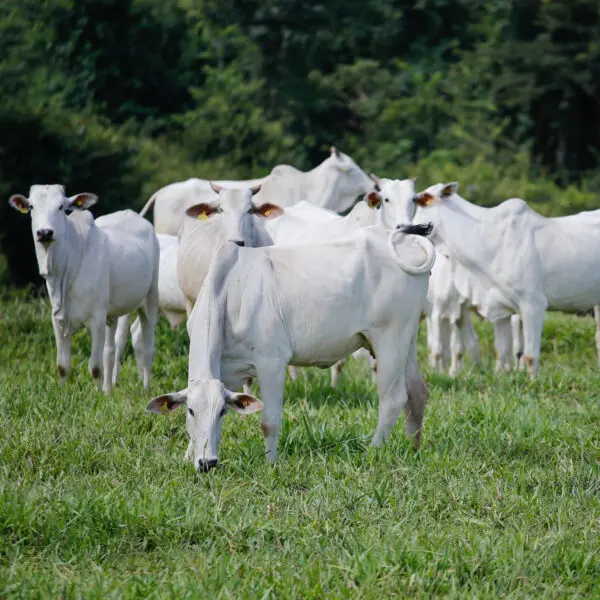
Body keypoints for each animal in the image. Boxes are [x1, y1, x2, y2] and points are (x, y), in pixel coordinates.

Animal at [10, 185, 159, 396]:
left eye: (61, 207)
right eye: (31, 206)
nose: (45, 232)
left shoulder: (96, 320)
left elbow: (95, 367)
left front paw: (97, 396)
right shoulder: (58, 319)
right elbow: (62, 366)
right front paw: (64, 393)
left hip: (150, 299)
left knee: (147, 346)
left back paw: (145, 388)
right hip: (112, 313)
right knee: (111, 349)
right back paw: (108, 389)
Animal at [145, 223, 436, 472]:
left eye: (222, 410)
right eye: (191, 410)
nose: (208, 463)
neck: (228, 292)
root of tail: (405, 240)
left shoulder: (271, 363)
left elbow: (269, 420)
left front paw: (270, 463)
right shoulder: (227, 370)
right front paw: (189, 457)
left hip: (389, 339)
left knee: (393, 398)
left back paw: (373, 451)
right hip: (406, 338)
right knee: (417, 392)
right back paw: (413, 449)